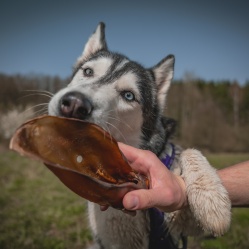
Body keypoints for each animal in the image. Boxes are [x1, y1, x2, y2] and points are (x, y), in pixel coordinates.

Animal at [47, 22, 231, 248]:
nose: (74, 104)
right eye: (88, 72)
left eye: (128, 96)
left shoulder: (182, 224)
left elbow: (190, 151)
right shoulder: (112, 237)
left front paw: (211, 198)